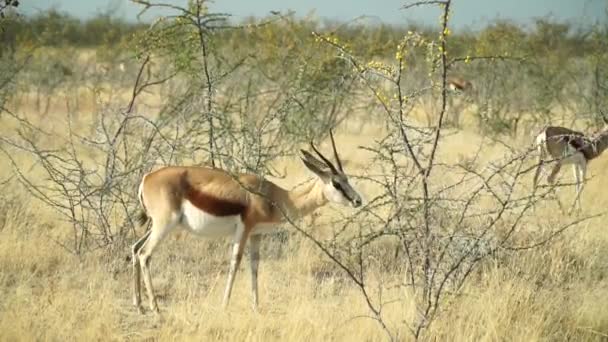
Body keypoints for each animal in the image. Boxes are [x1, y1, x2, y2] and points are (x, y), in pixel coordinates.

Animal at [132, 130, 360, 312]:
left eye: (347, 179)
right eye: (336, 183)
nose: (358, 200)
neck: (274, 197)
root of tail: (147, 178)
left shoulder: (256, 234)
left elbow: (254, 265)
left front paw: (256, 306)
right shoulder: (244, 229)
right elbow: (236, 262)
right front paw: (224, 305)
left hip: (156, 225)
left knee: (135, 248)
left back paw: (139, 305)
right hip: (164, 225)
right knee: (145, 254)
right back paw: (155, 307)